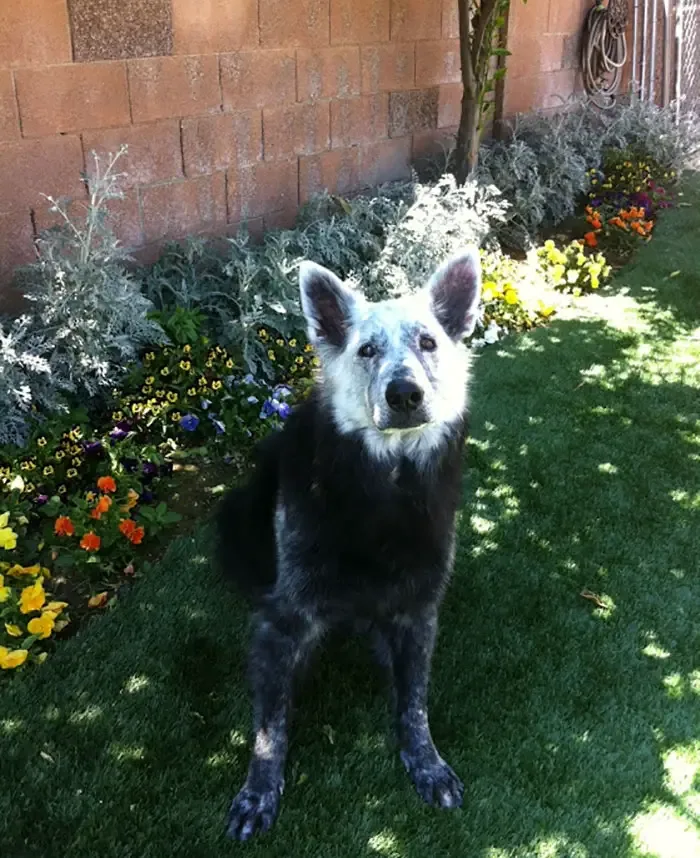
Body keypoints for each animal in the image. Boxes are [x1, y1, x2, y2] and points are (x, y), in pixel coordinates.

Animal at [217, 246, 482, 836]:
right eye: (367, 350)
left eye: (428, 342)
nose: (404, 394)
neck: (386, 492)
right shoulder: (280, 621)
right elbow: (269, 728)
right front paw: (257, 793)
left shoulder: (417, 612)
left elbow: (414, 703)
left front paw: (425, 762)